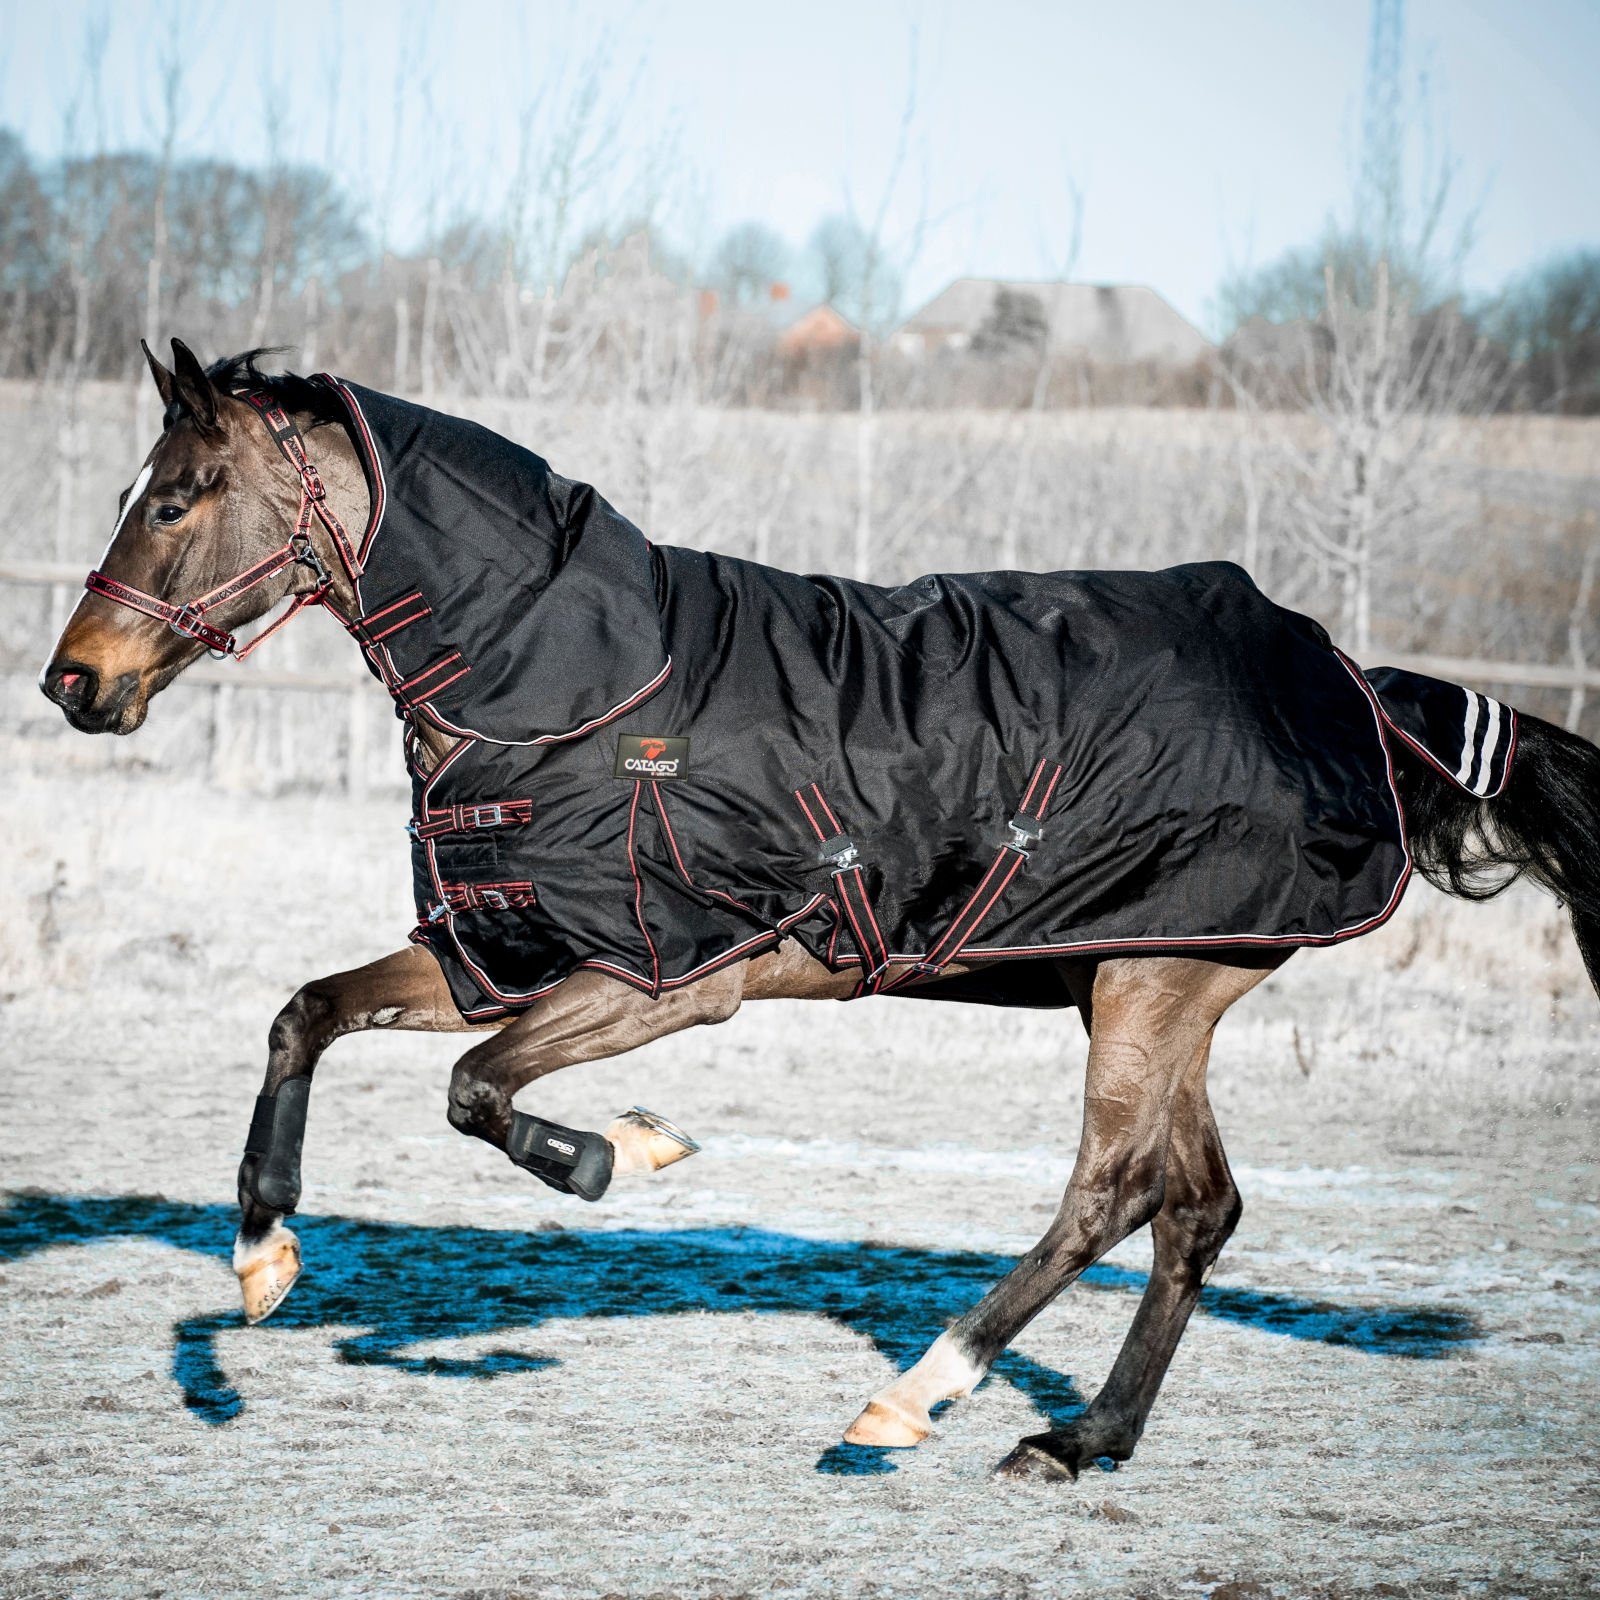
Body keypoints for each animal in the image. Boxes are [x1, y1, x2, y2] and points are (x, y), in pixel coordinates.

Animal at [37, 340, 1600, 1484]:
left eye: (173, 498)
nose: (74, 682)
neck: (575, 687)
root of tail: (1354, 687)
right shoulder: (495, 949)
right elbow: (306, 1013)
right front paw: (260, 1263)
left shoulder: (666, 977)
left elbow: (476, 1093)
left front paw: (620, 1152)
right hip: (1151, 978)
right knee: (1197, 1205)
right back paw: (1080, 1439)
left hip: (1154, 982)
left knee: (1113, 1189)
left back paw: (913, 1400)